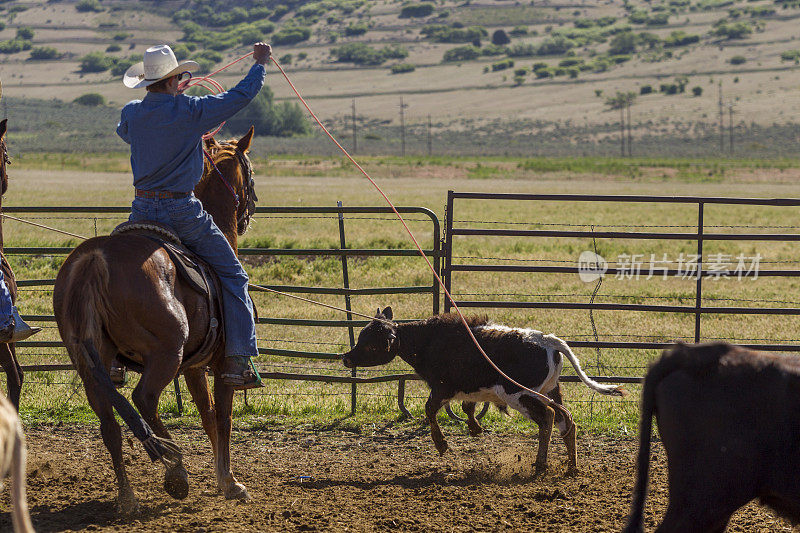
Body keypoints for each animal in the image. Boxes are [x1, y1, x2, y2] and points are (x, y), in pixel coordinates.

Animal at [53, 129, 258, 512]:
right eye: (250, 172)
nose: (246, 215)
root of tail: (95, 259)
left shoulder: (194, 367)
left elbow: (207, 416)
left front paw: (221, 477)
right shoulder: (222, 364)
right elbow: (223, 417)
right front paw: (230, 482)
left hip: (90, 362)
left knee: (109, 423)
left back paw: (127, 496)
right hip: (165, 353)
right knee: (143, 399)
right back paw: (176, 471)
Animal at [338, 308, 624, 474]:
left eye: (370, 344)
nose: (346, 358)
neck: (429, 341)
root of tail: (548, 341)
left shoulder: (442, 387)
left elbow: (429, 410)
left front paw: (442, 444)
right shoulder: (467, 388)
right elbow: (468, 406)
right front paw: (475, 428)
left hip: (520, 394)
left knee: (549, 419)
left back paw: (541, 464)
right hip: (552, 390)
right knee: (567, 421)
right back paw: (571, 466)